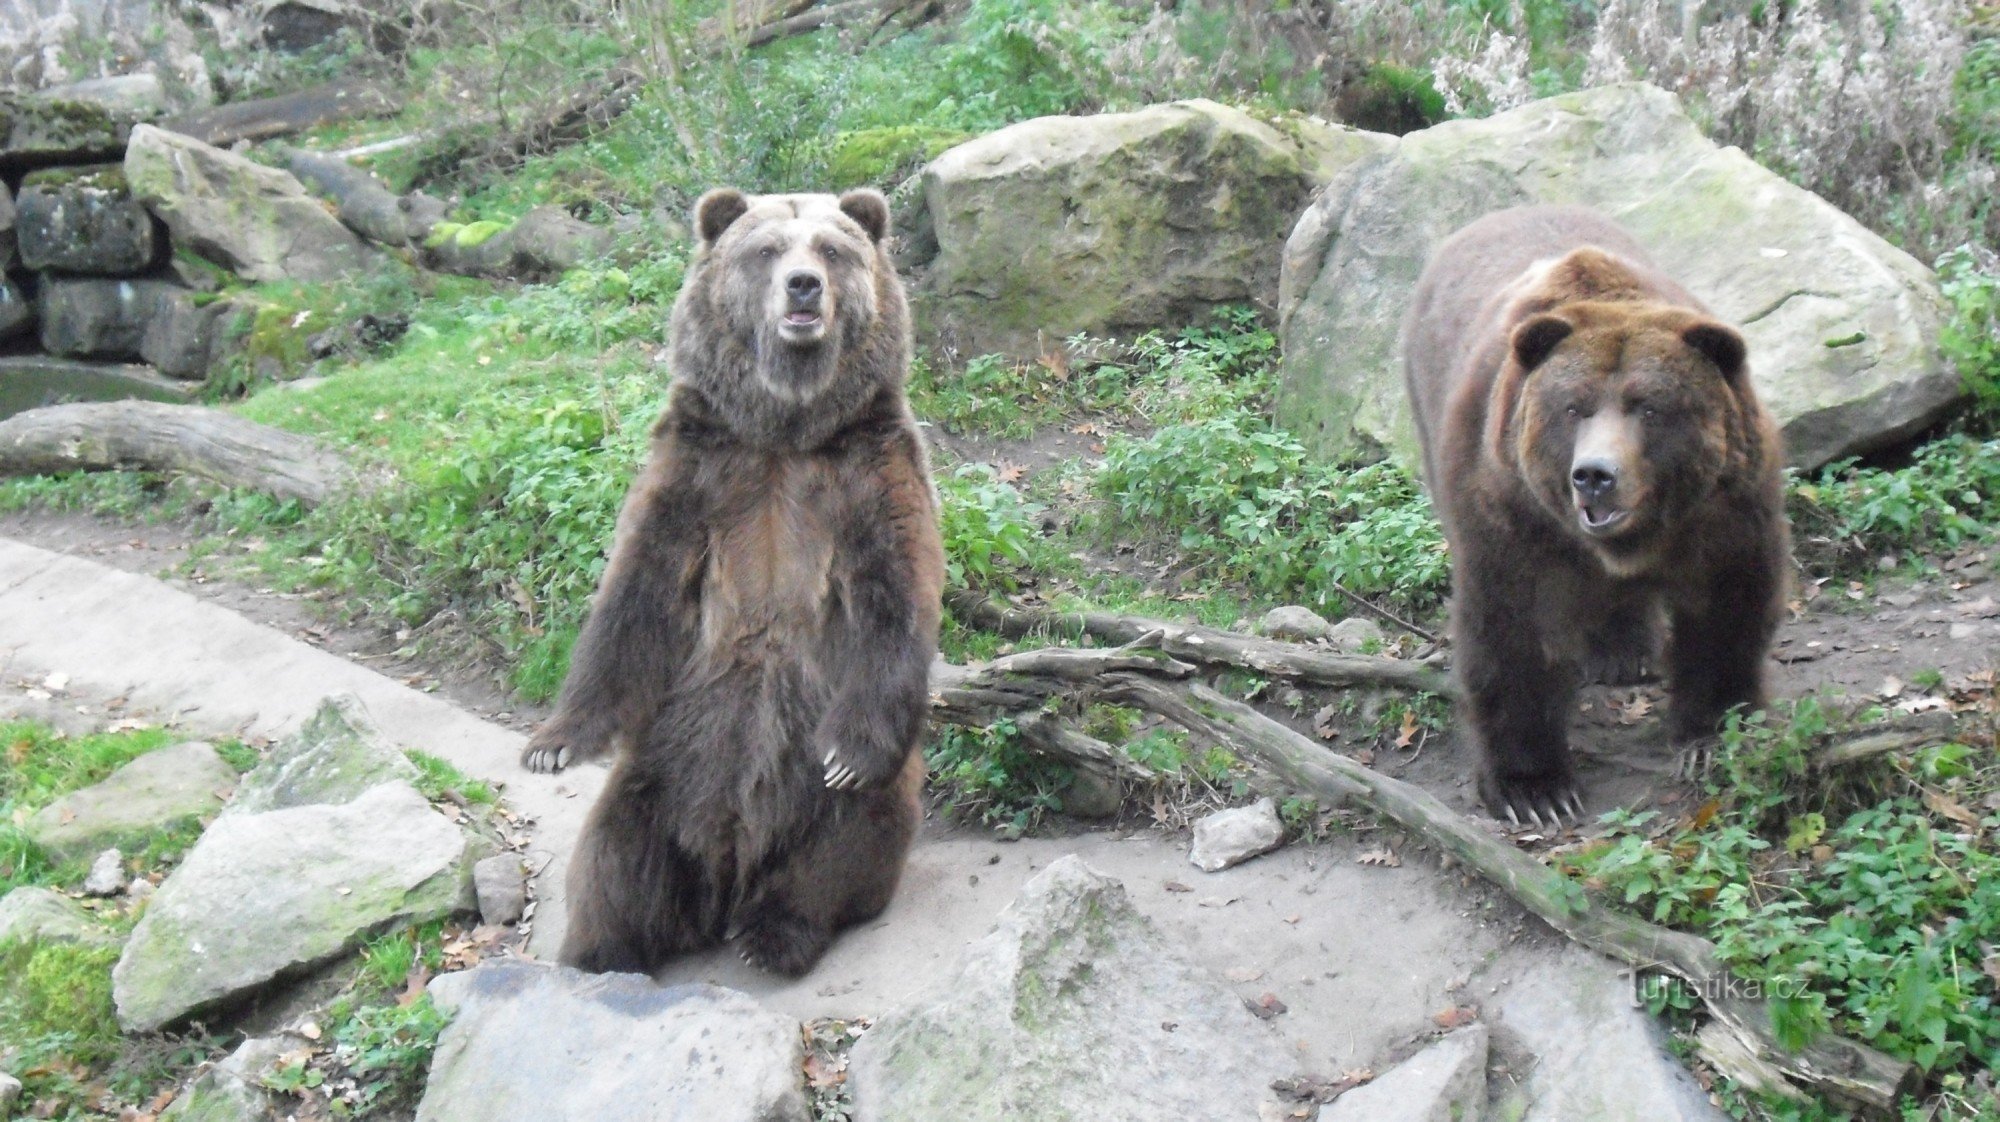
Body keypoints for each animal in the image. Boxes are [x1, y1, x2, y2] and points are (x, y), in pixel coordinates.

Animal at [524, 188, 944, 976]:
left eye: (832, 249)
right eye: (767, 249)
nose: (804, 286)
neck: (784, 430)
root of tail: (727, 874)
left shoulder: (869, 470)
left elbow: (896, 596)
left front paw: (850, 755)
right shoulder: (701, 469)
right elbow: (633, 598)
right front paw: (551, 743)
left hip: (816, 771)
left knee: (840, 842)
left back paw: (775, 933)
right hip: (663, 762)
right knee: (616, 856)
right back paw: (603, 952)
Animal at [1400, 206, 1792, 828]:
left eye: (1649, 407)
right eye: (1573, 408)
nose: (1594, 474)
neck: (1640, 534)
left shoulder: (1726, 512)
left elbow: (1728, 609)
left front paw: (1711, 736)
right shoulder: (1510, 512)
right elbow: (1511, 630)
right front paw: (1535, 789)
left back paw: (1624, 653)